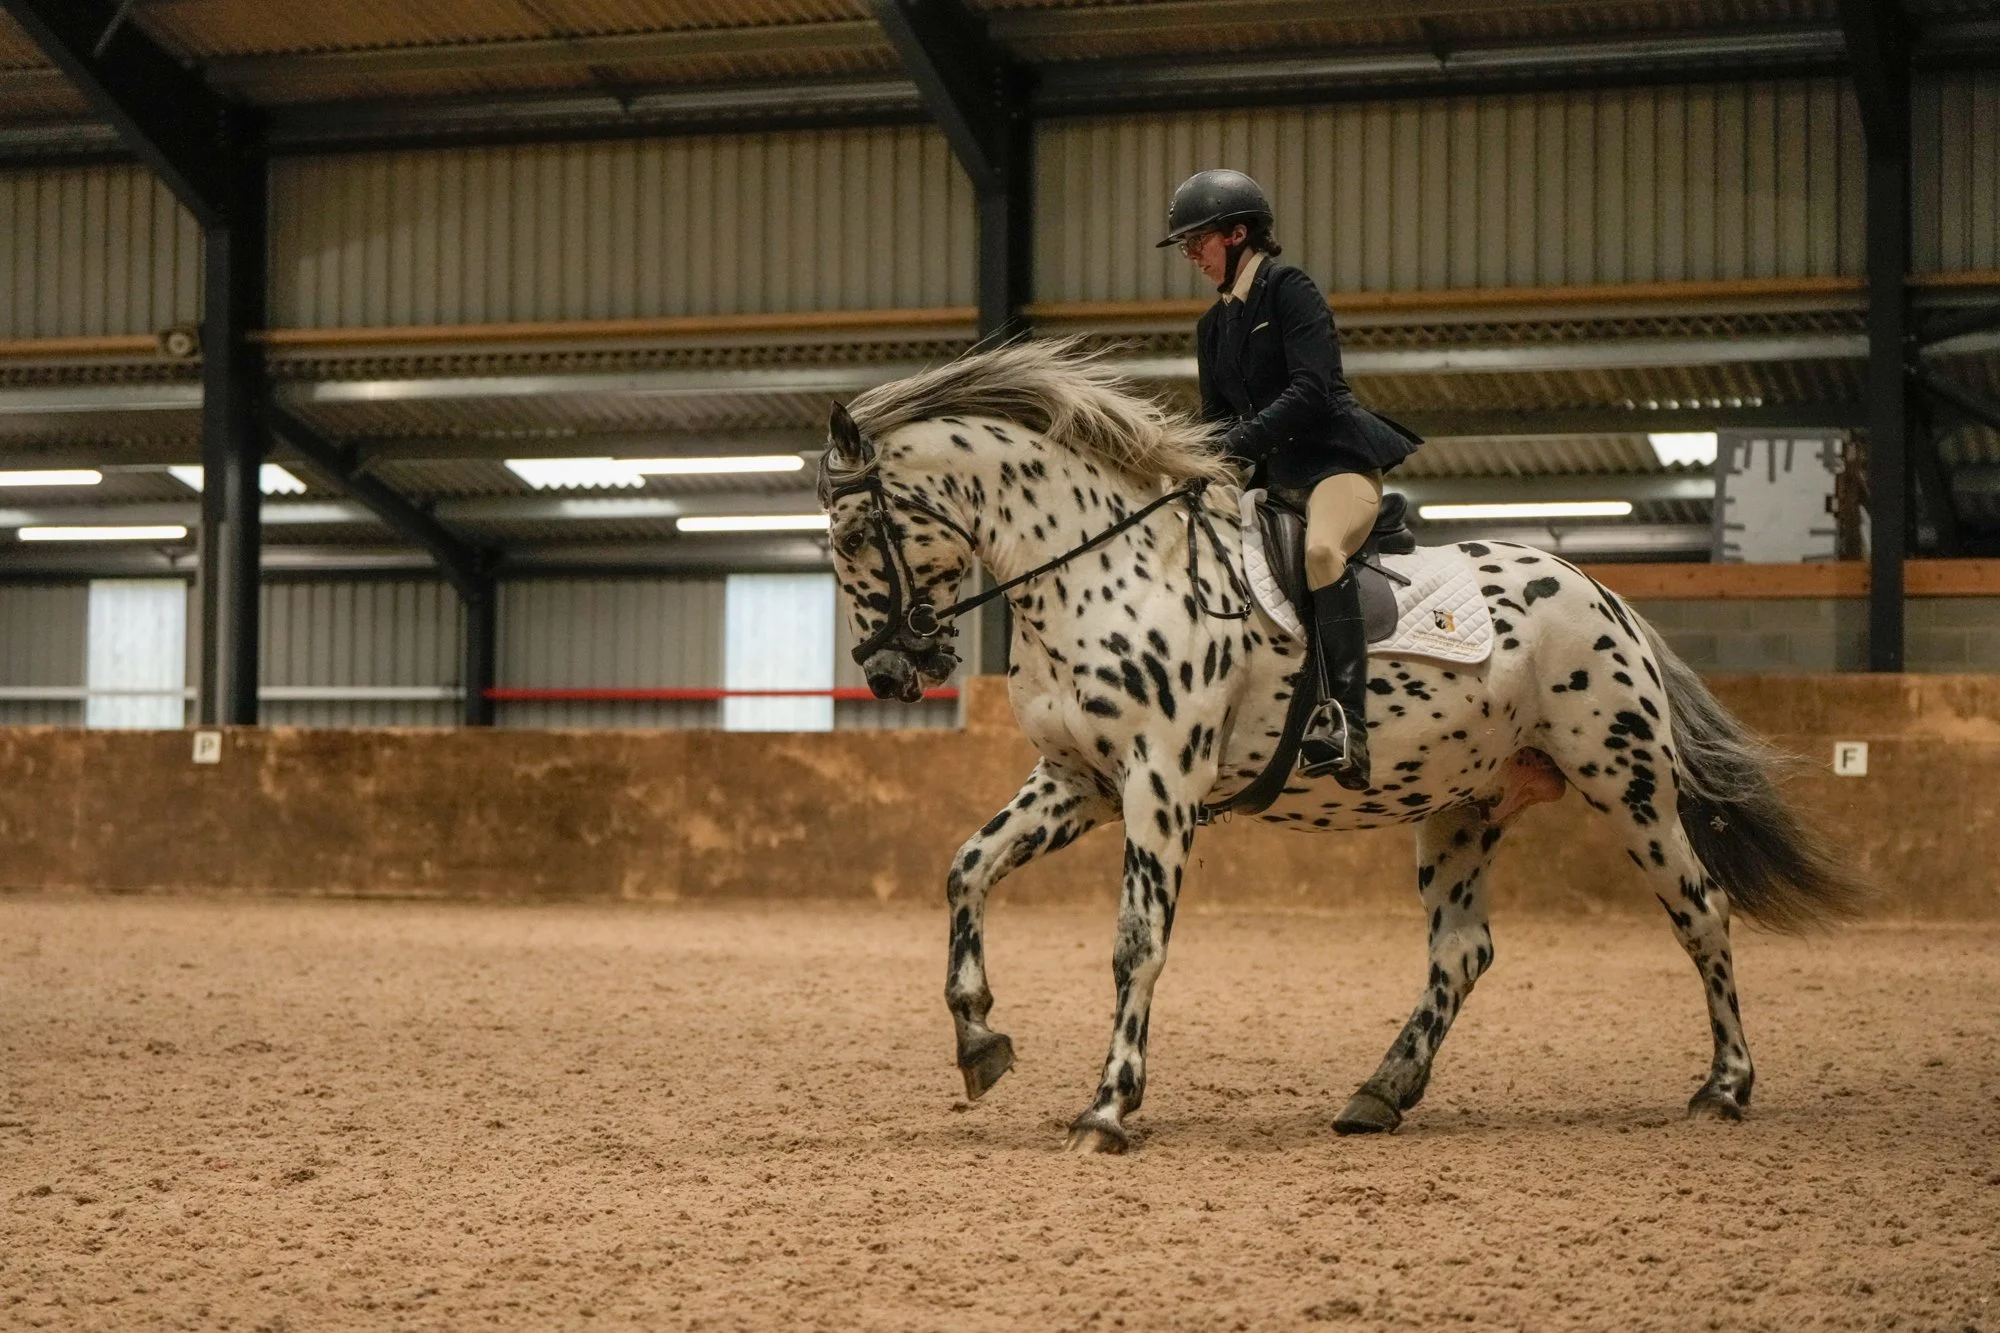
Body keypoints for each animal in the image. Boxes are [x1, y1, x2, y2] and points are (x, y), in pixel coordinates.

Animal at [817, 339, 1864, 1154]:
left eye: (858, 531)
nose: (889, 671)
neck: (1104, 568)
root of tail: (1604, 594)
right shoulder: (1077, 780)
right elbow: (967, 868)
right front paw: (978, 1041)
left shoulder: (1160, 782)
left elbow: (1137, 940)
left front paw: (1107, 1107)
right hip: (1463, 806)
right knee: (1463, 951)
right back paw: (1378, 1094)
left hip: (1628, 783)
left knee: (1701, 910)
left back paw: (1725, 1087)